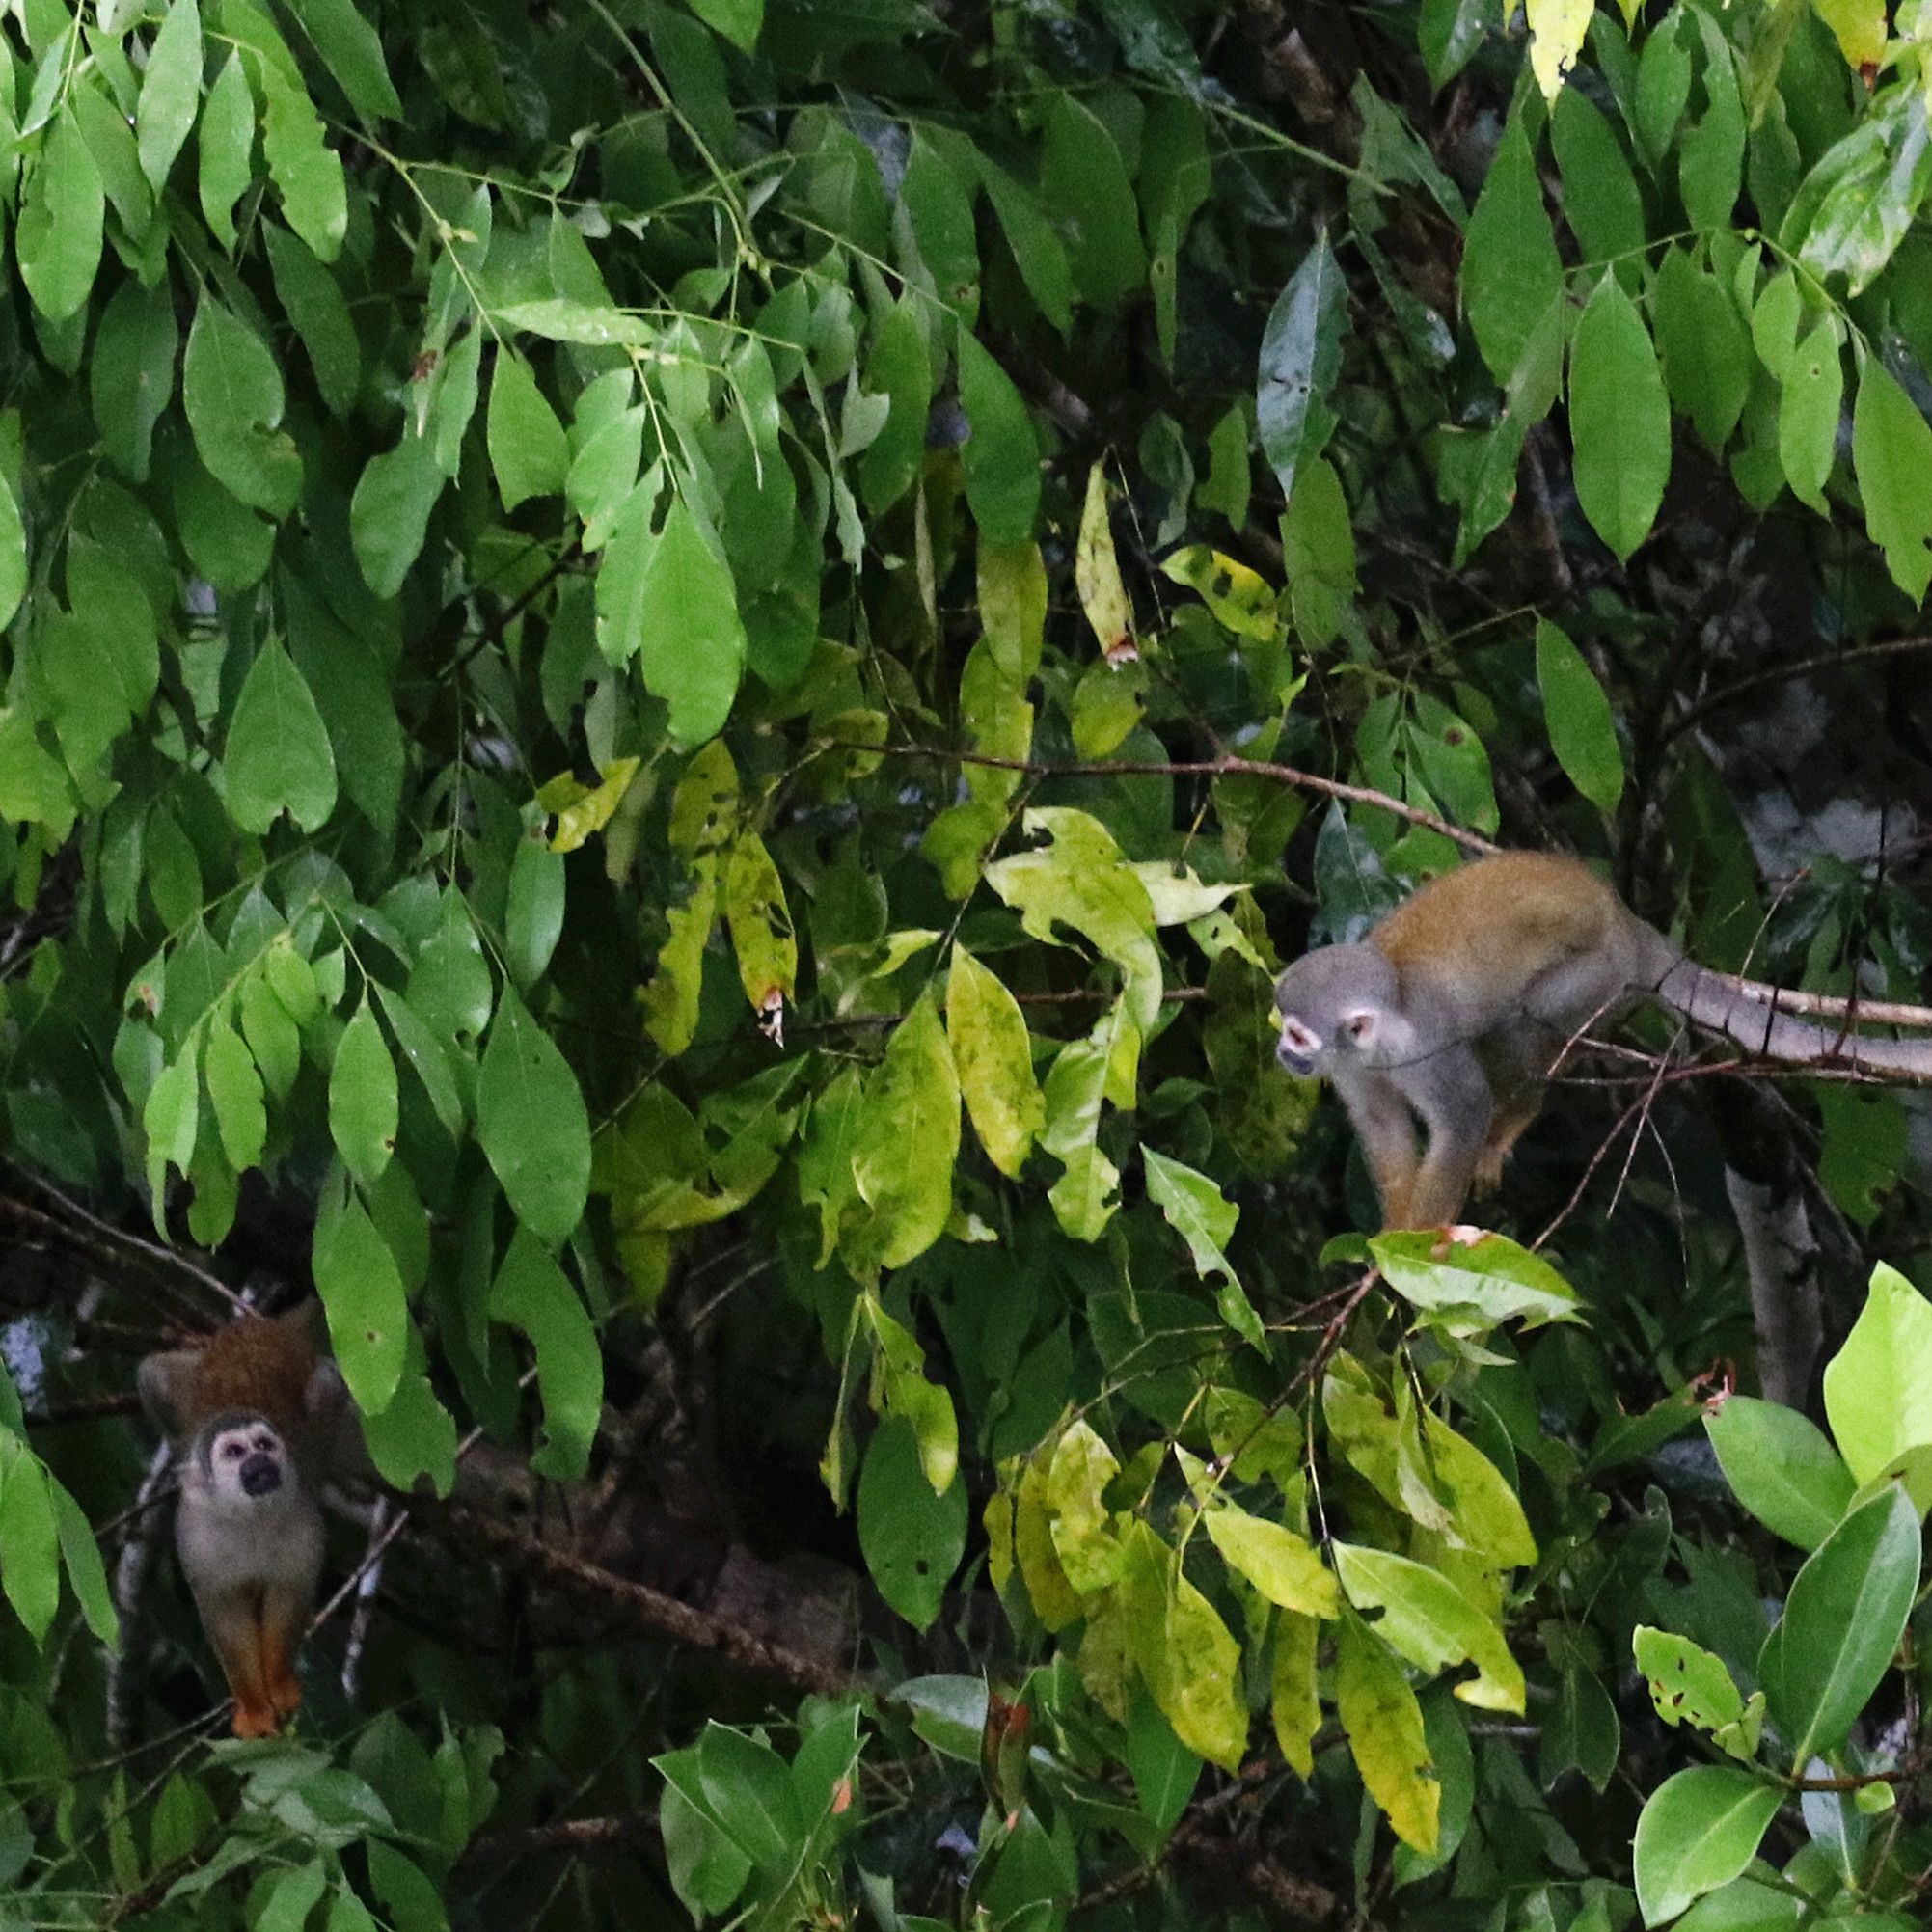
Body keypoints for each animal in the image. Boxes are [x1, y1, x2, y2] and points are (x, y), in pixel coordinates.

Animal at [141, 1306, 361, 1746]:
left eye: (263, 1445)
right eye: (233, 1452)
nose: (260, 1465)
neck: (248, 1516)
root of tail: (256, 1326)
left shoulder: (304, 1523)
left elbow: (289, 1594)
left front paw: (278, 1685)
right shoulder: (196, 1537)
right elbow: (224, 1613)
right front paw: (255, 1706)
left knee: (326, 1390)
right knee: (152, 1375)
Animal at [1274, 854, 1932, 1228]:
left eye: (1298, 1035)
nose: (1283, 1054)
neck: (1381, 1032)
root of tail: (1629, 926)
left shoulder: (1424, 1049)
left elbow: (1461, 1116)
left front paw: (1414, 1250)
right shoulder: (1353, 1067)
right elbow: (1382, 1127)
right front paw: (1391, 1237)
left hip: (1599, 977)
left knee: (1520, 1024)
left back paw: (1515, 1117)